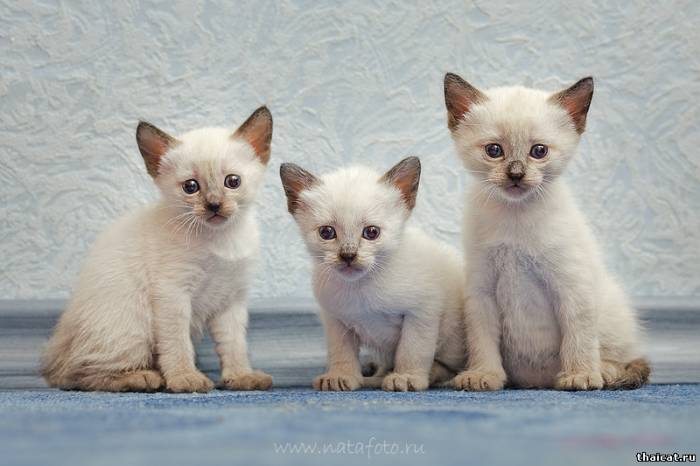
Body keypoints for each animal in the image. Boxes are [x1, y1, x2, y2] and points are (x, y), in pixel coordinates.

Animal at [41, 107, 274, 393]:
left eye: (232, 181)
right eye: (191, 187)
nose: (214, 205)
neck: (221, 239)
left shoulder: (231, 299)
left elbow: (234, 345)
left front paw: (241, 377)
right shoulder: (173, 294)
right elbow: (177, 344)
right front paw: (185, 379)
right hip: (133, 326)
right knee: (77, 375)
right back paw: (143, 378)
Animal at [280, 157, 466, 391]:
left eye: (371, 232)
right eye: (327, 232)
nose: (348, 255)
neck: (361, 286)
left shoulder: (421, 313)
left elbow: (412, 351)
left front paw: (406, 377)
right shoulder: (336, 321)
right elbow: (341, 353)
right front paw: (341, 376)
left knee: (447, 368)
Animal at [444, 72, 650, 391]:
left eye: (538, 151)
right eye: (494, 151)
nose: (516, 174)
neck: (516, 217)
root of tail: (537, 382)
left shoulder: (572, 287)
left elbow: (578, 337)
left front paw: (580, 375)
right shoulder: (481, 292)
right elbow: (482, 340)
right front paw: (483, 375)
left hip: (611, 310)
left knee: (625, 358)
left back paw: (603, 372)